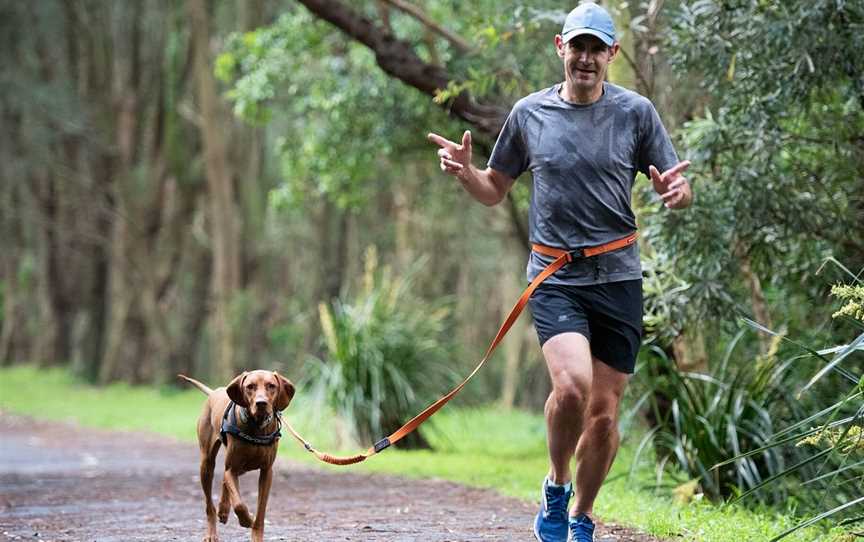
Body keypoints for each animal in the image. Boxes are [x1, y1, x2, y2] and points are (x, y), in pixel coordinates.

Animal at [177, 372, 296, 540]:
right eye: (250, 386)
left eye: (271, 386)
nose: (261, 403)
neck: (256, 426)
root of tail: (214, 392)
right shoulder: (233, 468)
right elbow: (239, 504)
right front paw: (247, 519)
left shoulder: (266, 472)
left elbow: (260, 512)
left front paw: (256, 535)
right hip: (206, 465)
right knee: (210, 504)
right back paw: (212, 531)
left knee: (224, 479)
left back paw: (224, 509)